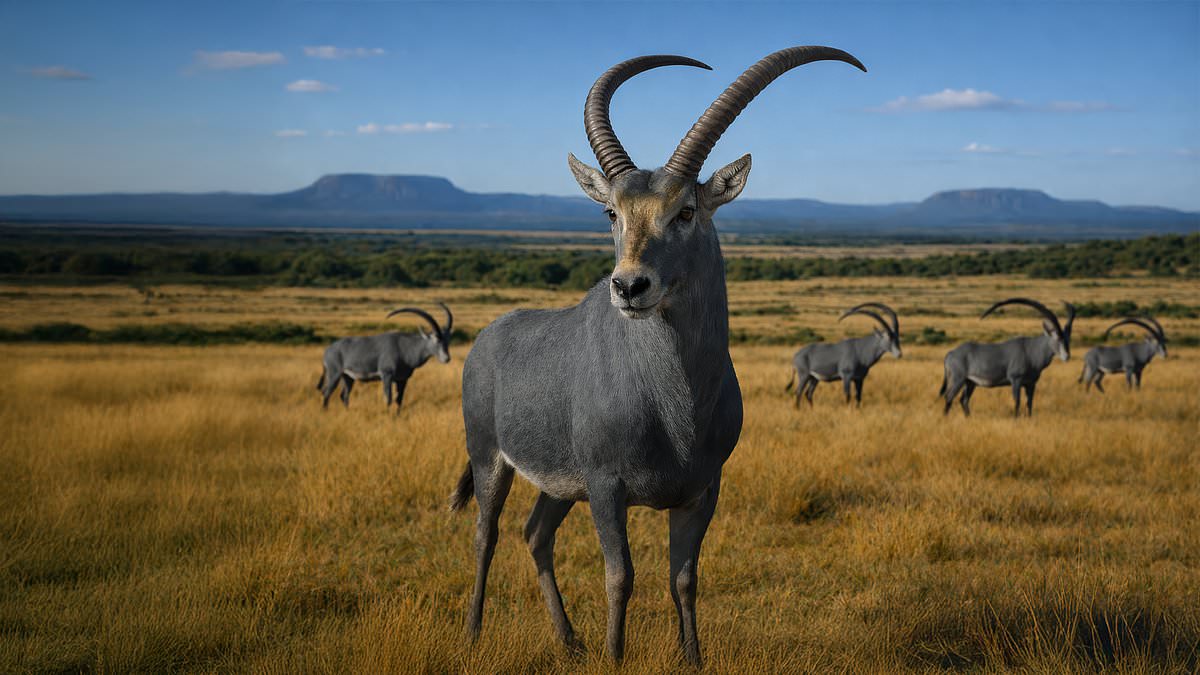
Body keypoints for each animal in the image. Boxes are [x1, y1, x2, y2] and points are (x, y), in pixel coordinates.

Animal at [316, 303, 452, 413]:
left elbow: (399, 400)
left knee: (343, 395)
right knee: (326, 392)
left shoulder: (402, 380)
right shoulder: (387, 375)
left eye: (447, 340)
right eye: (436, 339)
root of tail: (327, 350)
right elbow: (388, 398)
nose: (447, 358)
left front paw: (397, 416)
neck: (405, 348)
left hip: (348, 377)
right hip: (334, 374)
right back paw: (325, 412)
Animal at [449, 46, 865, 665]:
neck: (675, 404)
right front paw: (614, 657)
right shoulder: (607, 488)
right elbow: (620, 576)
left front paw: (692, 658)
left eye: (686, 210)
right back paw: (475, 634)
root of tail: (488, 338)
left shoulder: (701, 491)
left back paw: (569, 641)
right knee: (487, 533)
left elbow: (684, 579)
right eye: (611, 213)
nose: (629, 287)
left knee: (536, 534)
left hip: (558, 486)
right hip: (490, 459)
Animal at [940, 298, 1075, 417]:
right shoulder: (1016, 380)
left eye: (1068, 338)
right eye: (1057, 337)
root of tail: (950, 354)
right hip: (958, 379)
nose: (1067, 356)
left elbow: (1029, 404)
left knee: (963, 400)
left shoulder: (1031, 384)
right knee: (949, 397)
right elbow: (1017, 402)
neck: (1031, 350)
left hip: (970, 382)